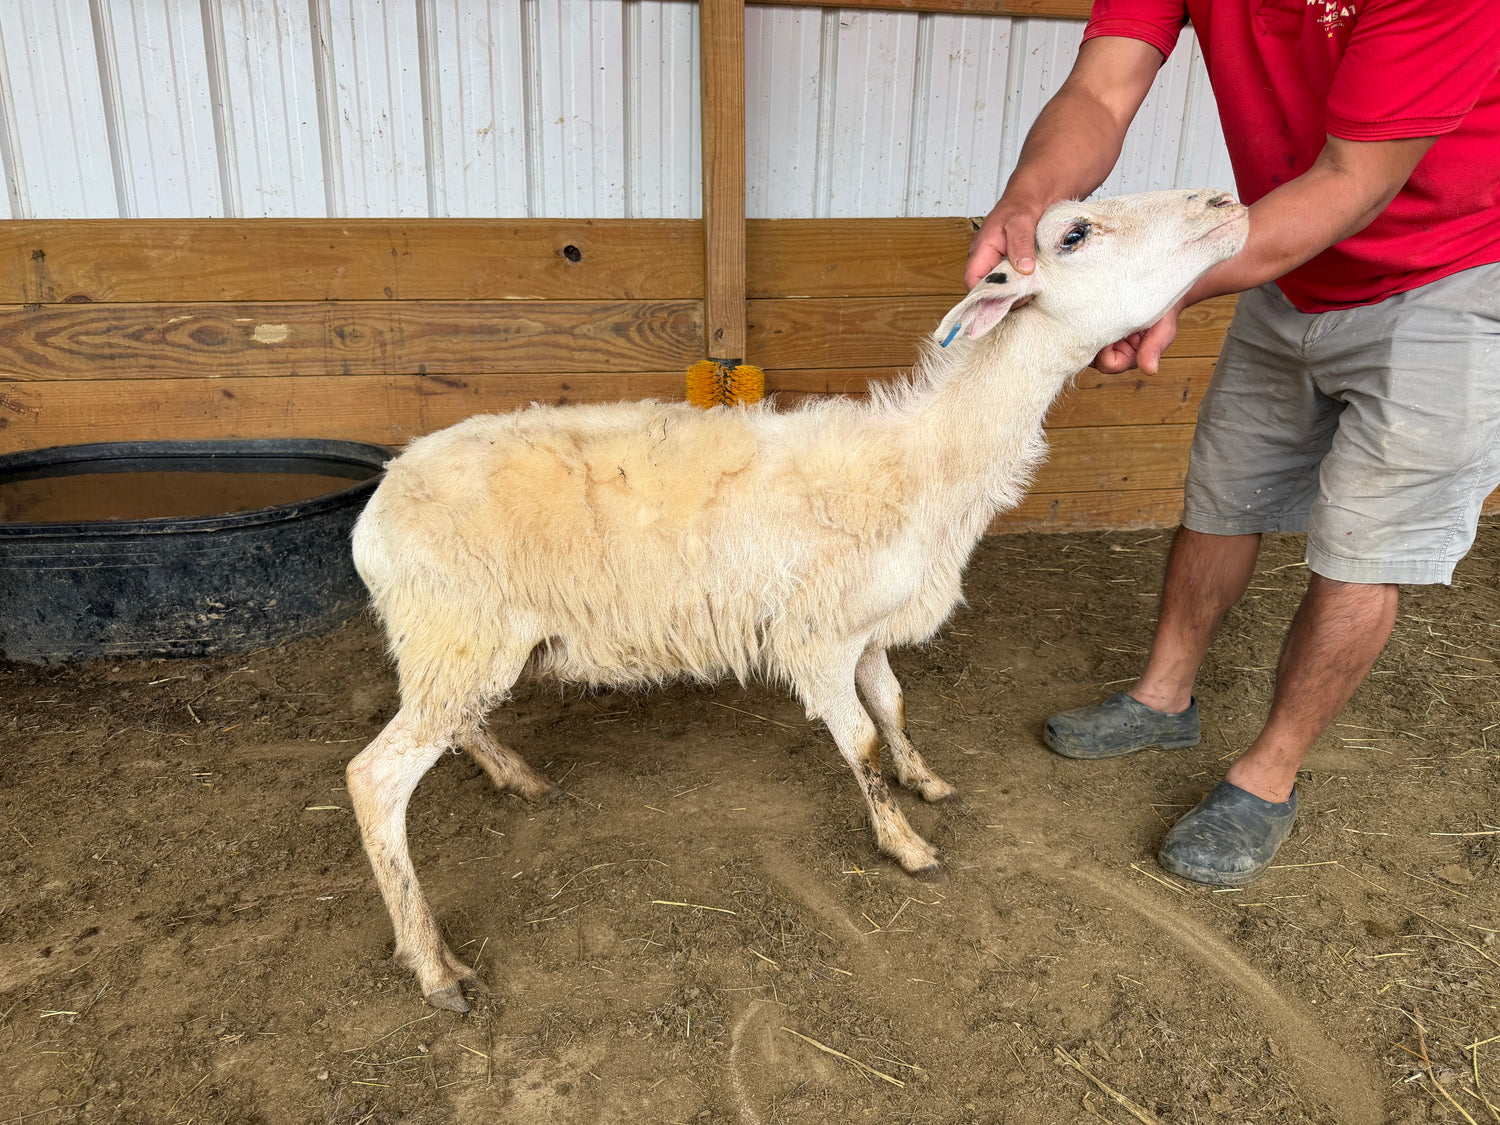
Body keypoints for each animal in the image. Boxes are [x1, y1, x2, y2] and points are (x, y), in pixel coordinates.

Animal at [347, 188, 1249, 1010]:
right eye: (1074, 233)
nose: (1228, 203)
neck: (926, 462)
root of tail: (376, 506)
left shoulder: (868, 625)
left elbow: (893, 704)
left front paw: (925, 779)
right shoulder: (817, 636)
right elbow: (860, 740)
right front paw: (905, 842)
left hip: (464, 646)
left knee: (459, 722)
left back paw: (519, 778)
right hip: (458, 633)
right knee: (375, 779)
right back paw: (434, 964)